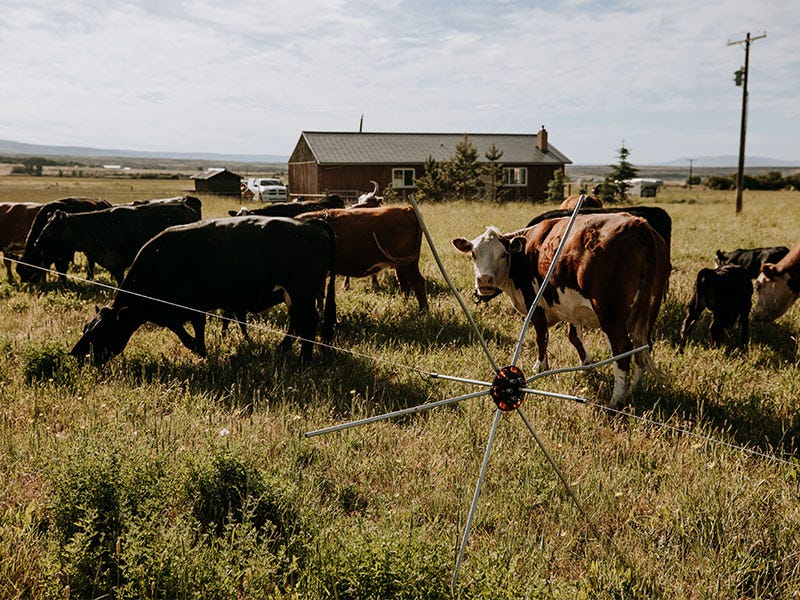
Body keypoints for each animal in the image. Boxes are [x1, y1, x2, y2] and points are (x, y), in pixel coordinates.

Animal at [69, 217, 338, 366]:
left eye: (100, 332)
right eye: (85, 327)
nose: (75, 353)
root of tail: (309, 224)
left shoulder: (184, 308)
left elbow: (186, 332)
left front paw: (201, 350)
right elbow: (194, 329)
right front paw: (203, 349)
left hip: (301, 292)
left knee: (308, 323)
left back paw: (304, 359)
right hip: (295, 296)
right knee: (297, 323)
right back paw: (283, 350)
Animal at [296, 205, 428, 310]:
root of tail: (406, 209)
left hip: (409, 264)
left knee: (417, 282)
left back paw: (423, 312)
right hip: (400, 264)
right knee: (404, 284)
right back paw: (404, 306)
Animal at [454, 213, 672, 406]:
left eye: (502, 254)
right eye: (474, 254)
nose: (484, 280)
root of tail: (638, 225)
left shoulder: (534, 303)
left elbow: (541, 337)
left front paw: (540, 366)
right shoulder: (570, 307)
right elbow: (574, 336)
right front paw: (586, 364)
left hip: (610, 313)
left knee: (622, 348)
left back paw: (617, 398)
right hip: (648, 310)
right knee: (642, 344)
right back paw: (635, 388)